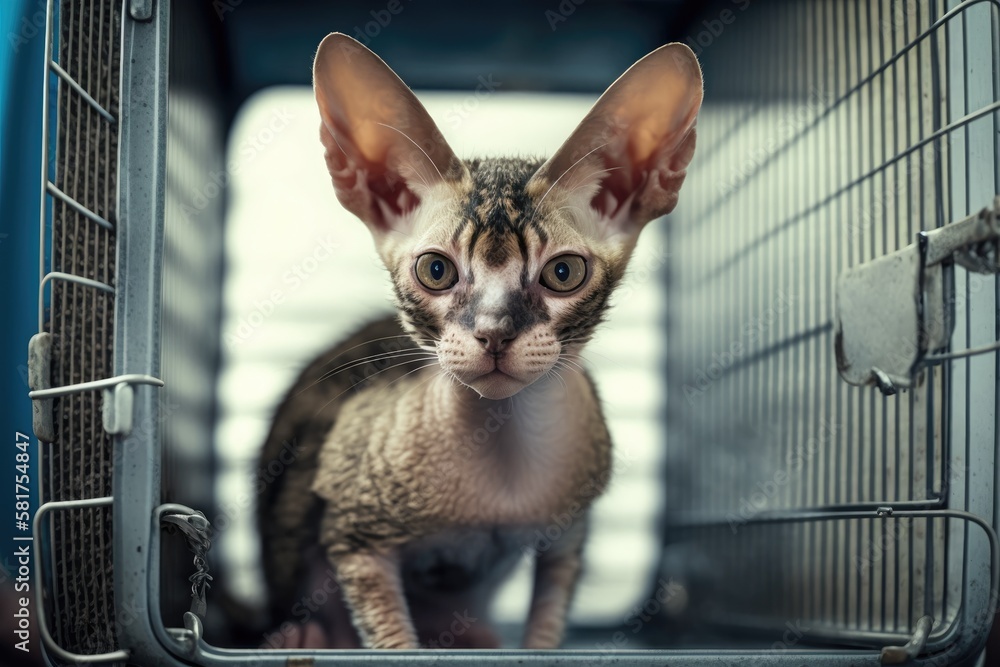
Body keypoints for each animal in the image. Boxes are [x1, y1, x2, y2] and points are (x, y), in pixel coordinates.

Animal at [252, 34, 704, 648]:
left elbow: (547, 624)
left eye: (563, 273)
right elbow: (395, 643)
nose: (493, 332)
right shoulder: (353, 534)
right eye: (436, 270)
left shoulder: (569, 533)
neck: (501, 457)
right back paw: (302, 638)